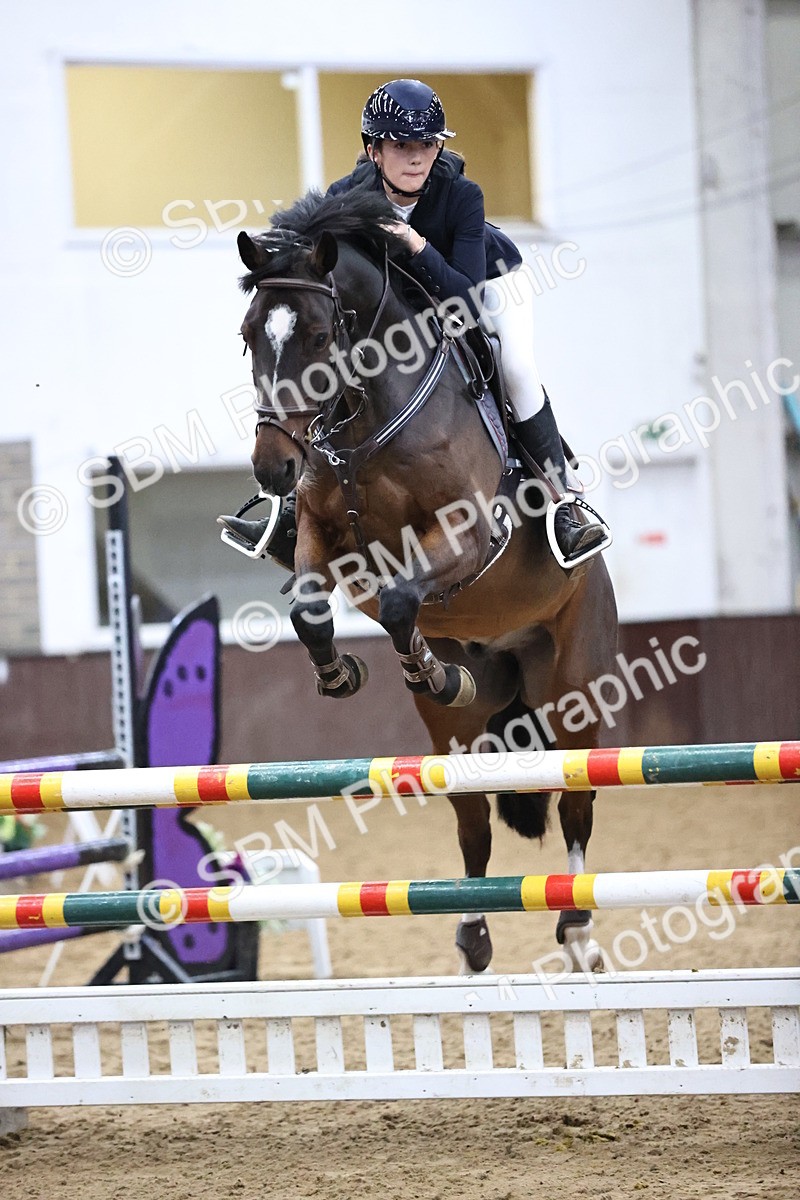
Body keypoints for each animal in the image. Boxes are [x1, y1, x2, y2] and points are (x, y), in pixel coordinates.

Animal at [235, 187, 618, 973]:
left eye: (317, 335)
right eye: (250, 334)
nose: (272, 467)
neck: (365, 418)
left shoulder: (470, 535)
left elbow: (402, 599)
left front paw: (427, 667)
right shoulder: (321, 533)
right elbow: (312, 608)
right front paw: (343, 673)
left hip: (573, 691)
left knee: (575, 801)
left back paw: (579, 931)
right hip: (458, 736)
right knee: (473, 823)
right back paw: (472, 933)